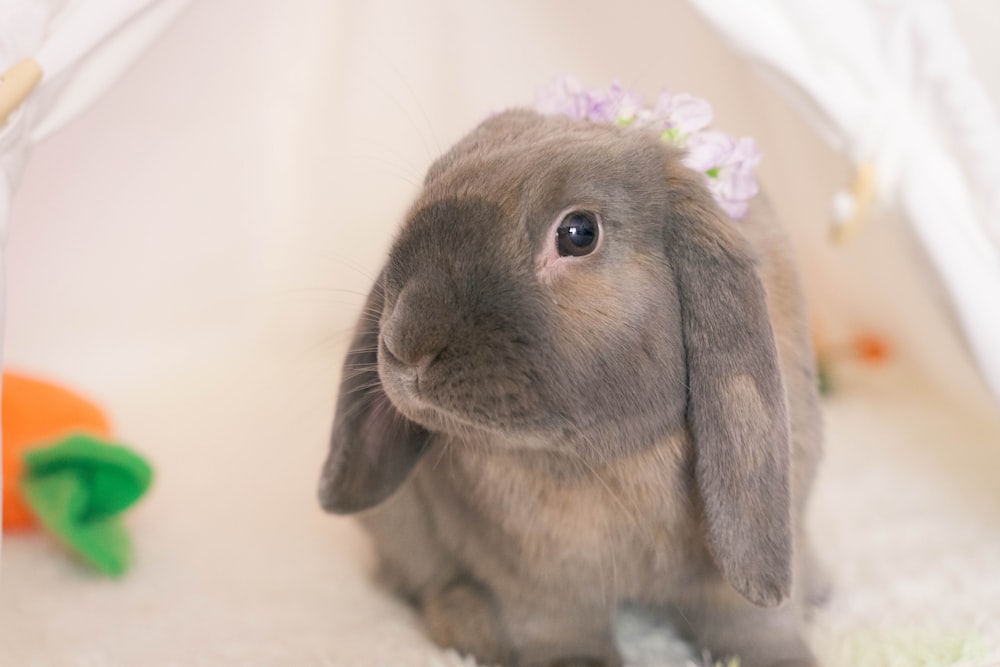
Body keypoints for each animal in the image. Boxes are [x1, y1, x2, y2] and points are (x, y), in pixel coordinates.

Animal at [316, 109, 824, 667]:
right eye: (429, 187)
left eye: (579, 233)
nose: (404, 344)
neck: (600, 459)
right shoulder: (537, 578)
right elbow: (558, 628)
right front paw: (576, 663)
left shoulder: (742, 562)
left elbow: (755, 623)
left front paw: (784, 658)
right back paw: (472, 626)